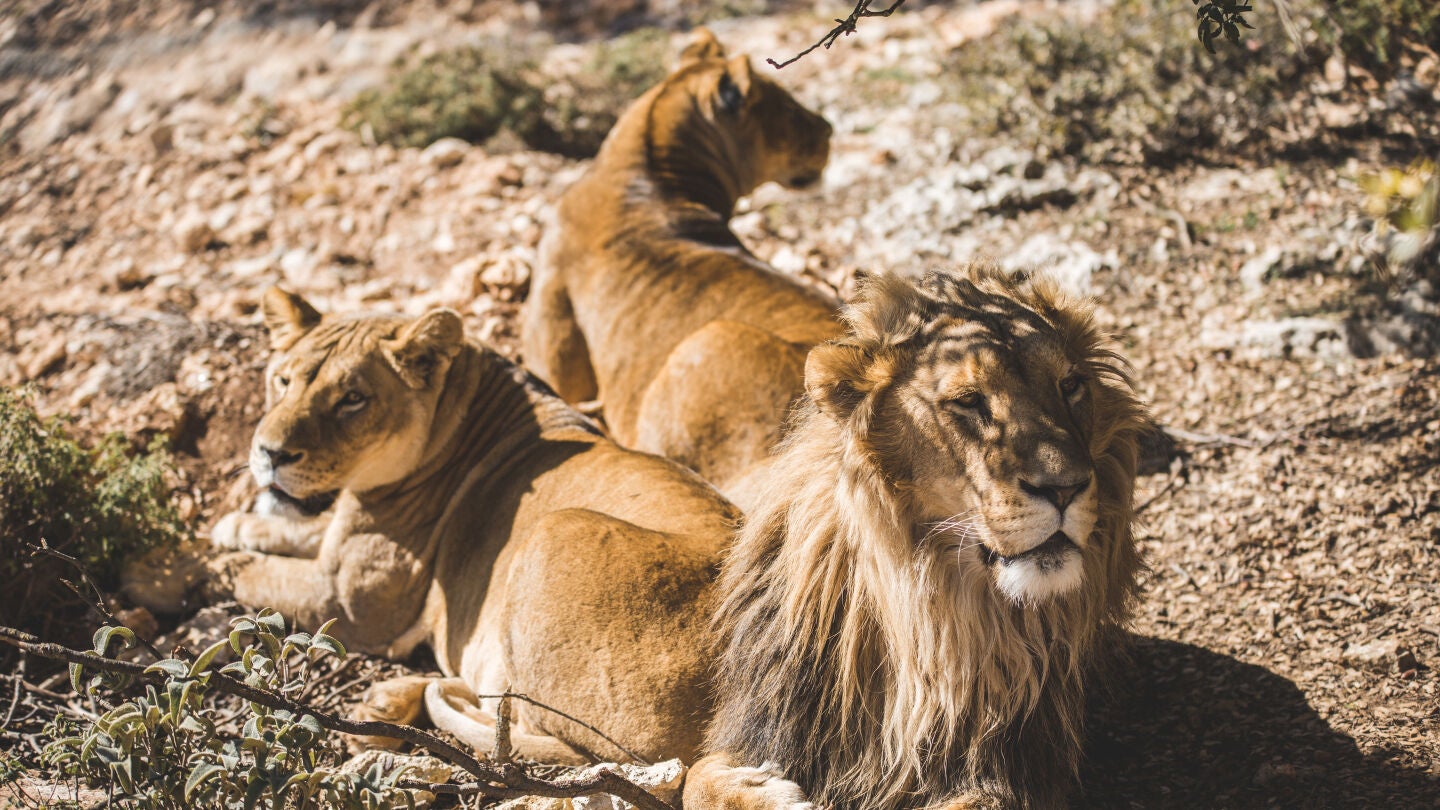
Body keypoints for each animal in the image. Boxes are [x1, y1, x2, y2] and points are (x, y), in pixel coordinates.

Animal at [137, 287, 739, 765]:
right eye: (282, 381)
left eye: (352, 399)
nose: (269, 453)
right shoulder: (337, 538)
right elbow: (287, 532)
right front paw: (231, 525)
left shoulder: (350, 602)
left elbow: (241, 569)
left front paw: (153, 571)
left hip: (555, 532)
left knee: (534, 729)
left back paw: (390, 706)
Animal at [684, 264, 1149, 810]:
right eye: (969, 402)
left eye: (1071, 385)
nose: (1066, 487)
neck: (930, 616)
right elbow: (698, 777)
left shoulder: (1012, 774)